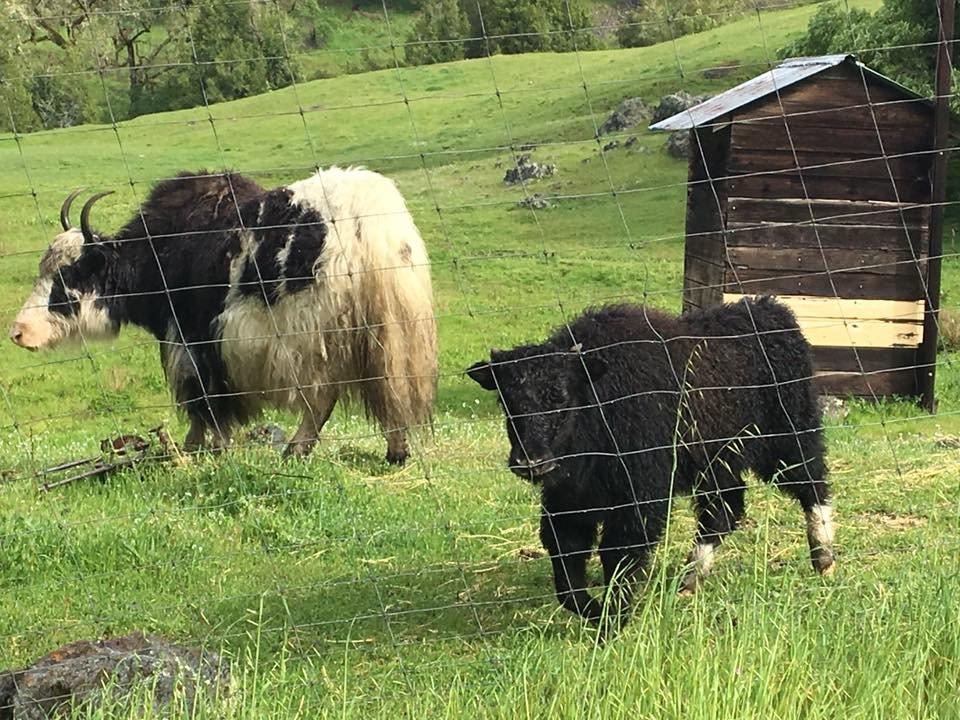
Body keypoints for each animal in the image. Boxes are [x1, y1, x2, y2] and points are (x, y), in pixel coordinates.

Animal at [468, 296, 836, 624]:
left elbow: (619, 552)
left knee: (812, 487)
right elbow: (566, 566)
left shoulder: (639, 499)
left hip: (790, 439)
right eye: (506, 401)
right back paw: (689, 580)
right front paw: (596, 612)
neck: (599, 401)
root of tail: (772, 312)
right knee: (723, 511)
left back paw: (823, 558)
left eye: (561, 397)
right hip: (719, 465)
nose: (530, 461)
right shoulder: (569, 503)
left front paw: (613, 618)